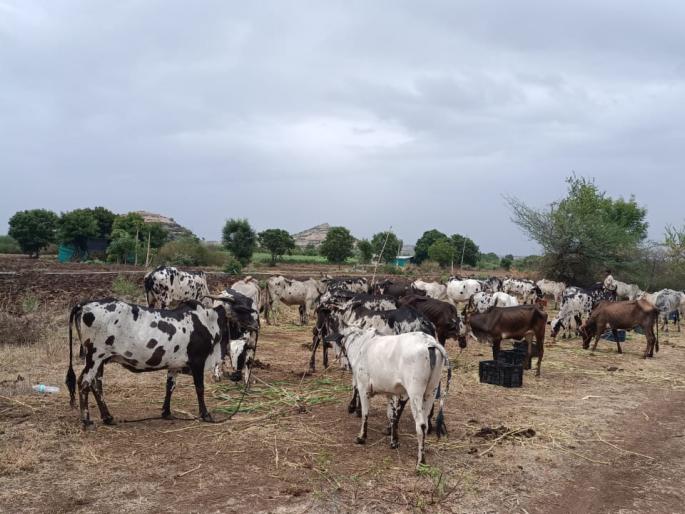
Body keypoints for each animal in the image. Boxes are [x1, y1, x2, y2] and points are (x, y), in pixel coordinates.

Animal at [64, 296, 259, 428]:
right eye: (242, 308)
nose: (256, 324)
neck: (206, 321)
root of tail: (84, 305)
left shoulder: (174, 365)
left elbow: (170, 387)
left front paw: (166, 412)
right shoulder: (198, 361)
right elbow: (200, 388)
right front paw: (205, 414)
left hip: (101, 361)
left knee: (96, 385)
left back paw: (108, 418)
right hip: (94, 357)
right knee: (84, 383)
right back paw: (87, 420)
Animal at [327, 327, 451, 469]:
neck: (362, 344)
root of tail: (430, 342)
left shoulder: (364, 389)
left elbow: (365, 414)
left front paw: (361, 437)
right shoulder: (390, 393)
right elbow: (392, 416)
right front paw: (394, 441)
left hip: (415, 393)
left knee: (421, 425)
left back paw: (420, 461)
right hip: (431, 392)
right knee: (425, 421)